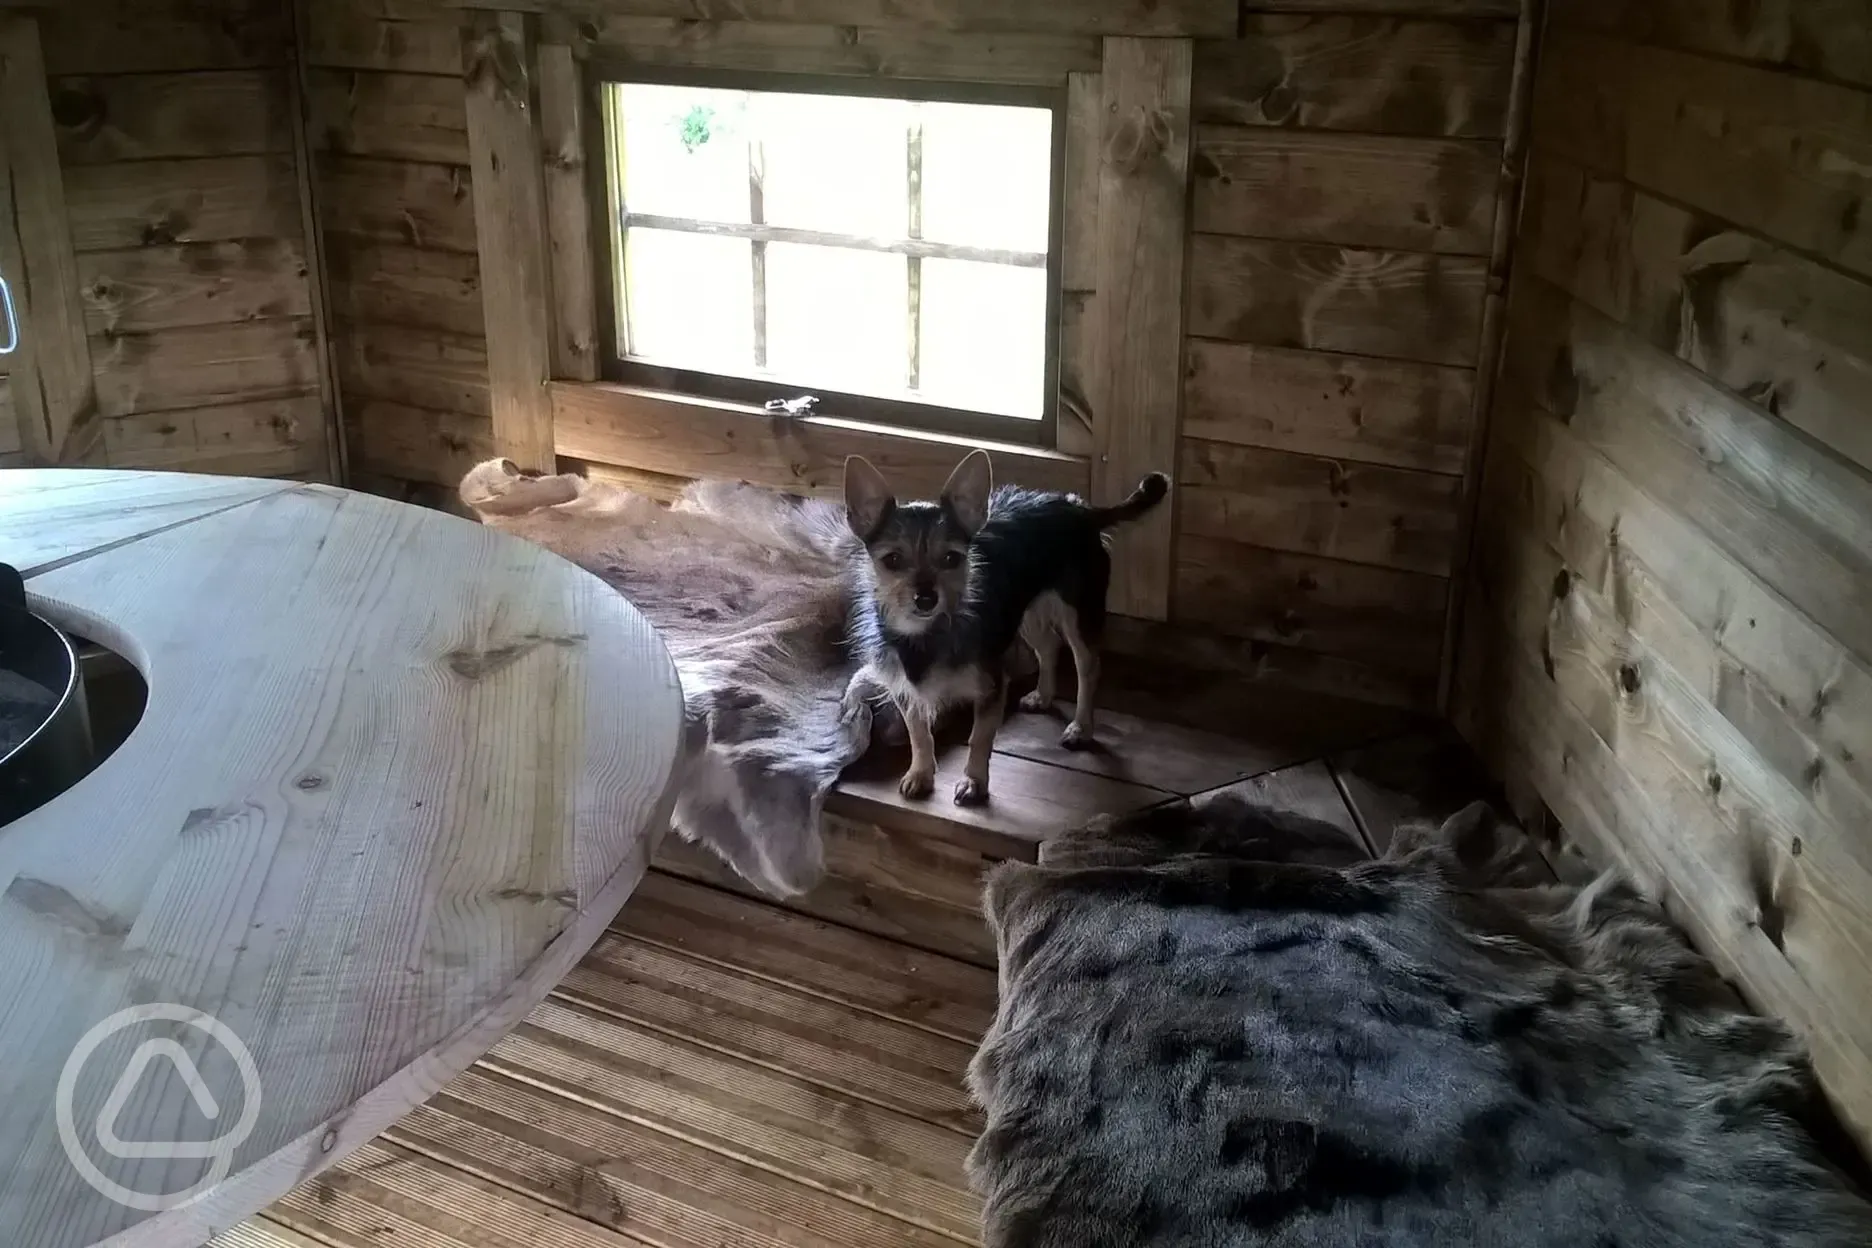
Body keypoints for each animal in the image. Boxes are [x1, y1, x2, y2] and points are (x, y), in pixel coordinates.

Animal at [849, 449, 1168, 812]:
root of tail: (1081, 509)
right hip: (1025, 613)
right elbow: (919, 733)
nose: (926, 598)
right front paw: (920, 774)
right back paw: (1043, 696)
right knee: (1048, 648)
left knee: (1087, 666)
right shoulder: (905, 689)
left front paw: (974, 783)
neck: (926, 634)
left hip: (1077, 612)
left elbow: (979, 738)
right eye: (891, 560)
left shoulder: (991, 686)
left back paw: (1081, 728)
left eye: (951, 558)